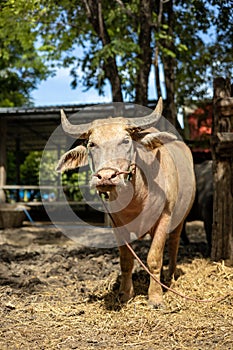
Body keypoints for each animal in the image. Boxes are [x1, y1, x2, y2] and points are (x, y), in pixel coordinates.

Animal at [57, 99, 197, 308]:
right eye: (92, 144)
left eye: (125, 141)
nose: (106, 177)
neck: (137, 197)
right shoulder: (117, 224)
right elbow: (126, 260)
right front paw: (125, 293)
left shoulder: (164, 217)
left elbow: (154, 258)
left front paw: (156, 297)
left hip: (180, 218)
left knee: (174, 245)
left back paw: (170, 276)